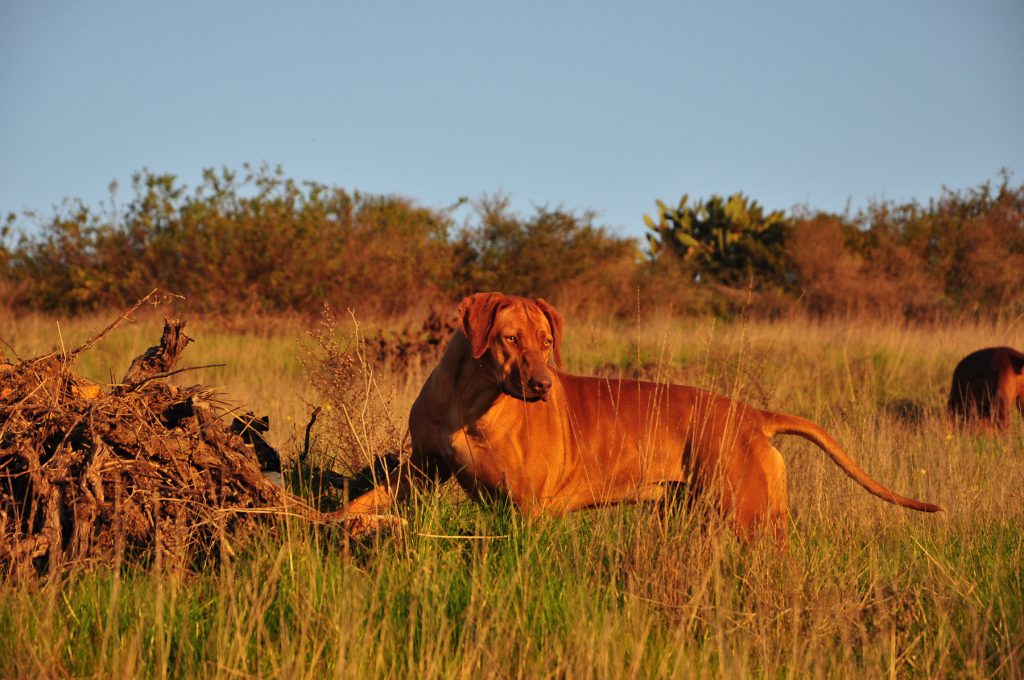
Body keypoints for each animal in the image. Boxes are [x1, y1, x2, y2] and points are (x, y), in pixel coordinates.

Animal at [352, 294, 942, 540]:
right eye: (510, 340)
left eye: (547, 342)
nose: (544, 385)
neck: (471, 397)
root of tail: (753, 414)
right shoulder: (421, 469)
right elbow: (366, 499)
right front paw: (343, 521)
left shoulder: (526, 508)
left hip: (751, 518)